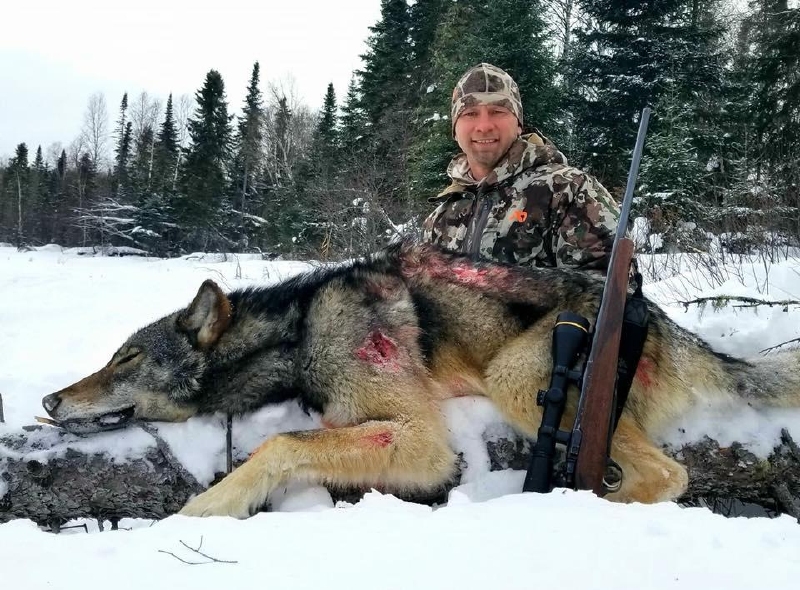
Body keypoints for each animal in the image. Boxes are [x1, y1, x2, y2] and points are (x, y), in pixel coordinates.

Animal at [41, 243, 800, 518]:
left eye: (125, 360)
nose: (49, 398)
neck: (298, 333)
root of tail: (663, 318)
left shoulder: (423, 442)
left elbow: (278, 446)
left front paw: (200, 513)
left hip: (518, 377)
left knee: (670, 476)